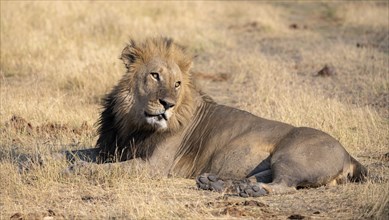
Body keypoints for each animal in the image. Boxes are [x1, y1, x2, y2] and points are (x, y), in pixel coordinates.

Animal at [67, 37, 366, 197]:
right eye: (155, 75)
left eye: (177, 84)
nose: (167, 104)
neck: (132, 121)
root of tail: (348, 154)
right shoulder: (109, 147)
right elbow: (73, 152)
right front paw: (62, 159)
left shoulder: (154, 166)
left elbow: (112, 168)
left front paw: (81, 169)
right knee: (261, 177)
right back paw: (218, 183)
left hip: (291, 155)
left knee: (284, 185)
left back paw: (249, 191)